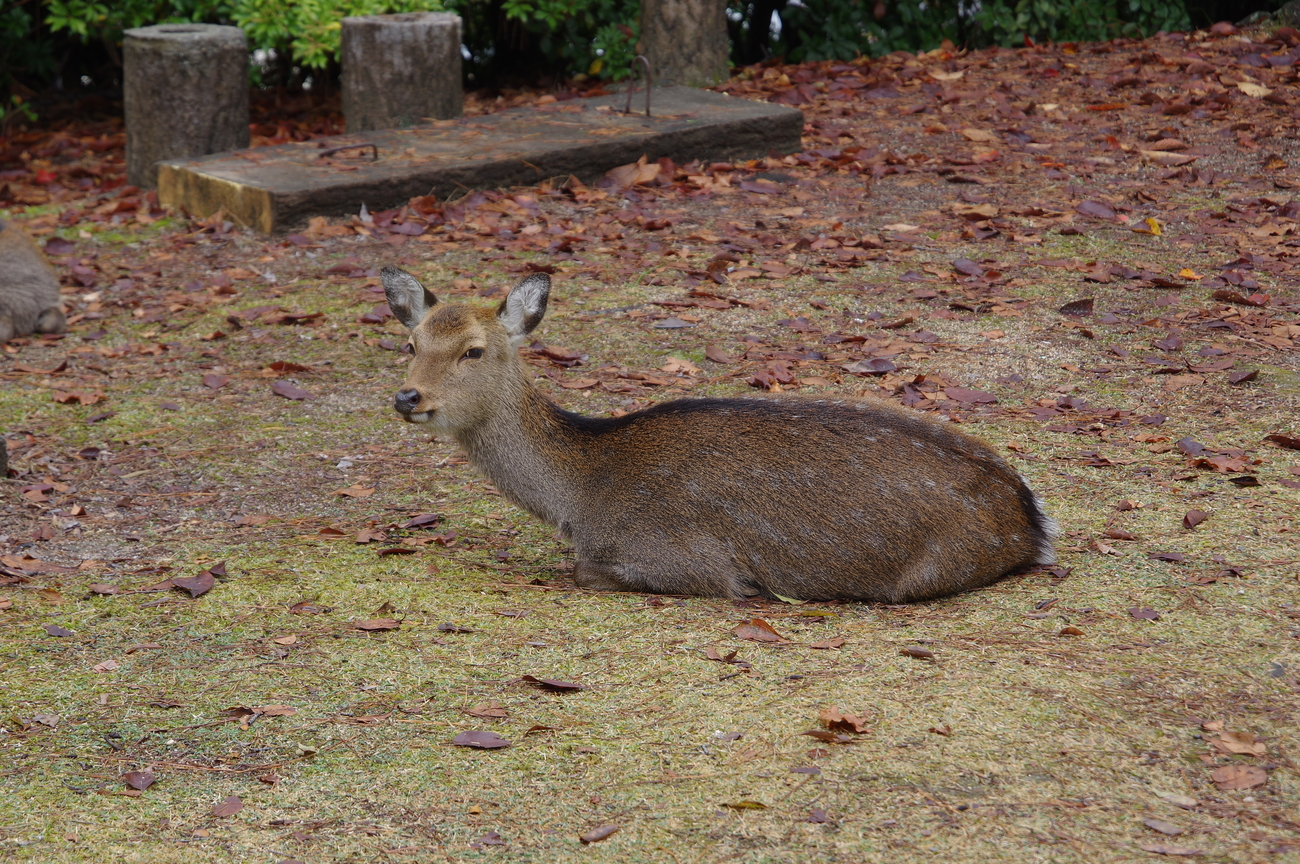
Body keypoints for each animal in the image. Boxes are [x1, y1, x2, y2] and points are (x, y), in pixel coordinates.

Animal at [381, 266, 1057, 602]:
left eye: (473, 350)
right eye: (410, 345)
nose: (408, 396)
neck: (580, 496)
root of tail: (1031, 514)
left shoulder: (684, 557)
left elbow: (586, 573)